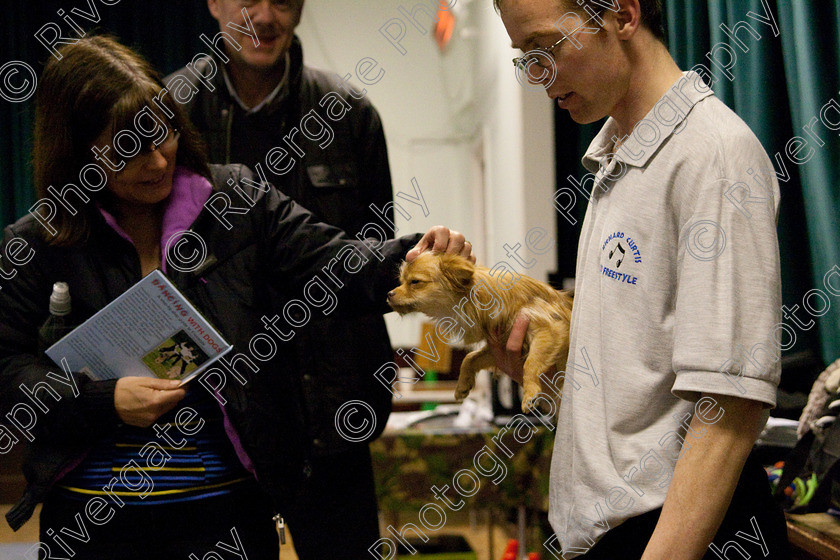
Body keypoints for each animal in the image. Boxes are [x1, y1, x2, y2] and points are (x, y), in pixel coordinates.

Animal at [386, 254, 572, 412]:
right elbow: (470, 358)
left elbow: (531, 363)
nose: (388, 294)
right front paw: (463, 384)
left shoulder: (550, 329)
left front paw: (530, 393)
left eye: (415, 282)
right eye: (401, 281)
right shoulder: (498, 347)